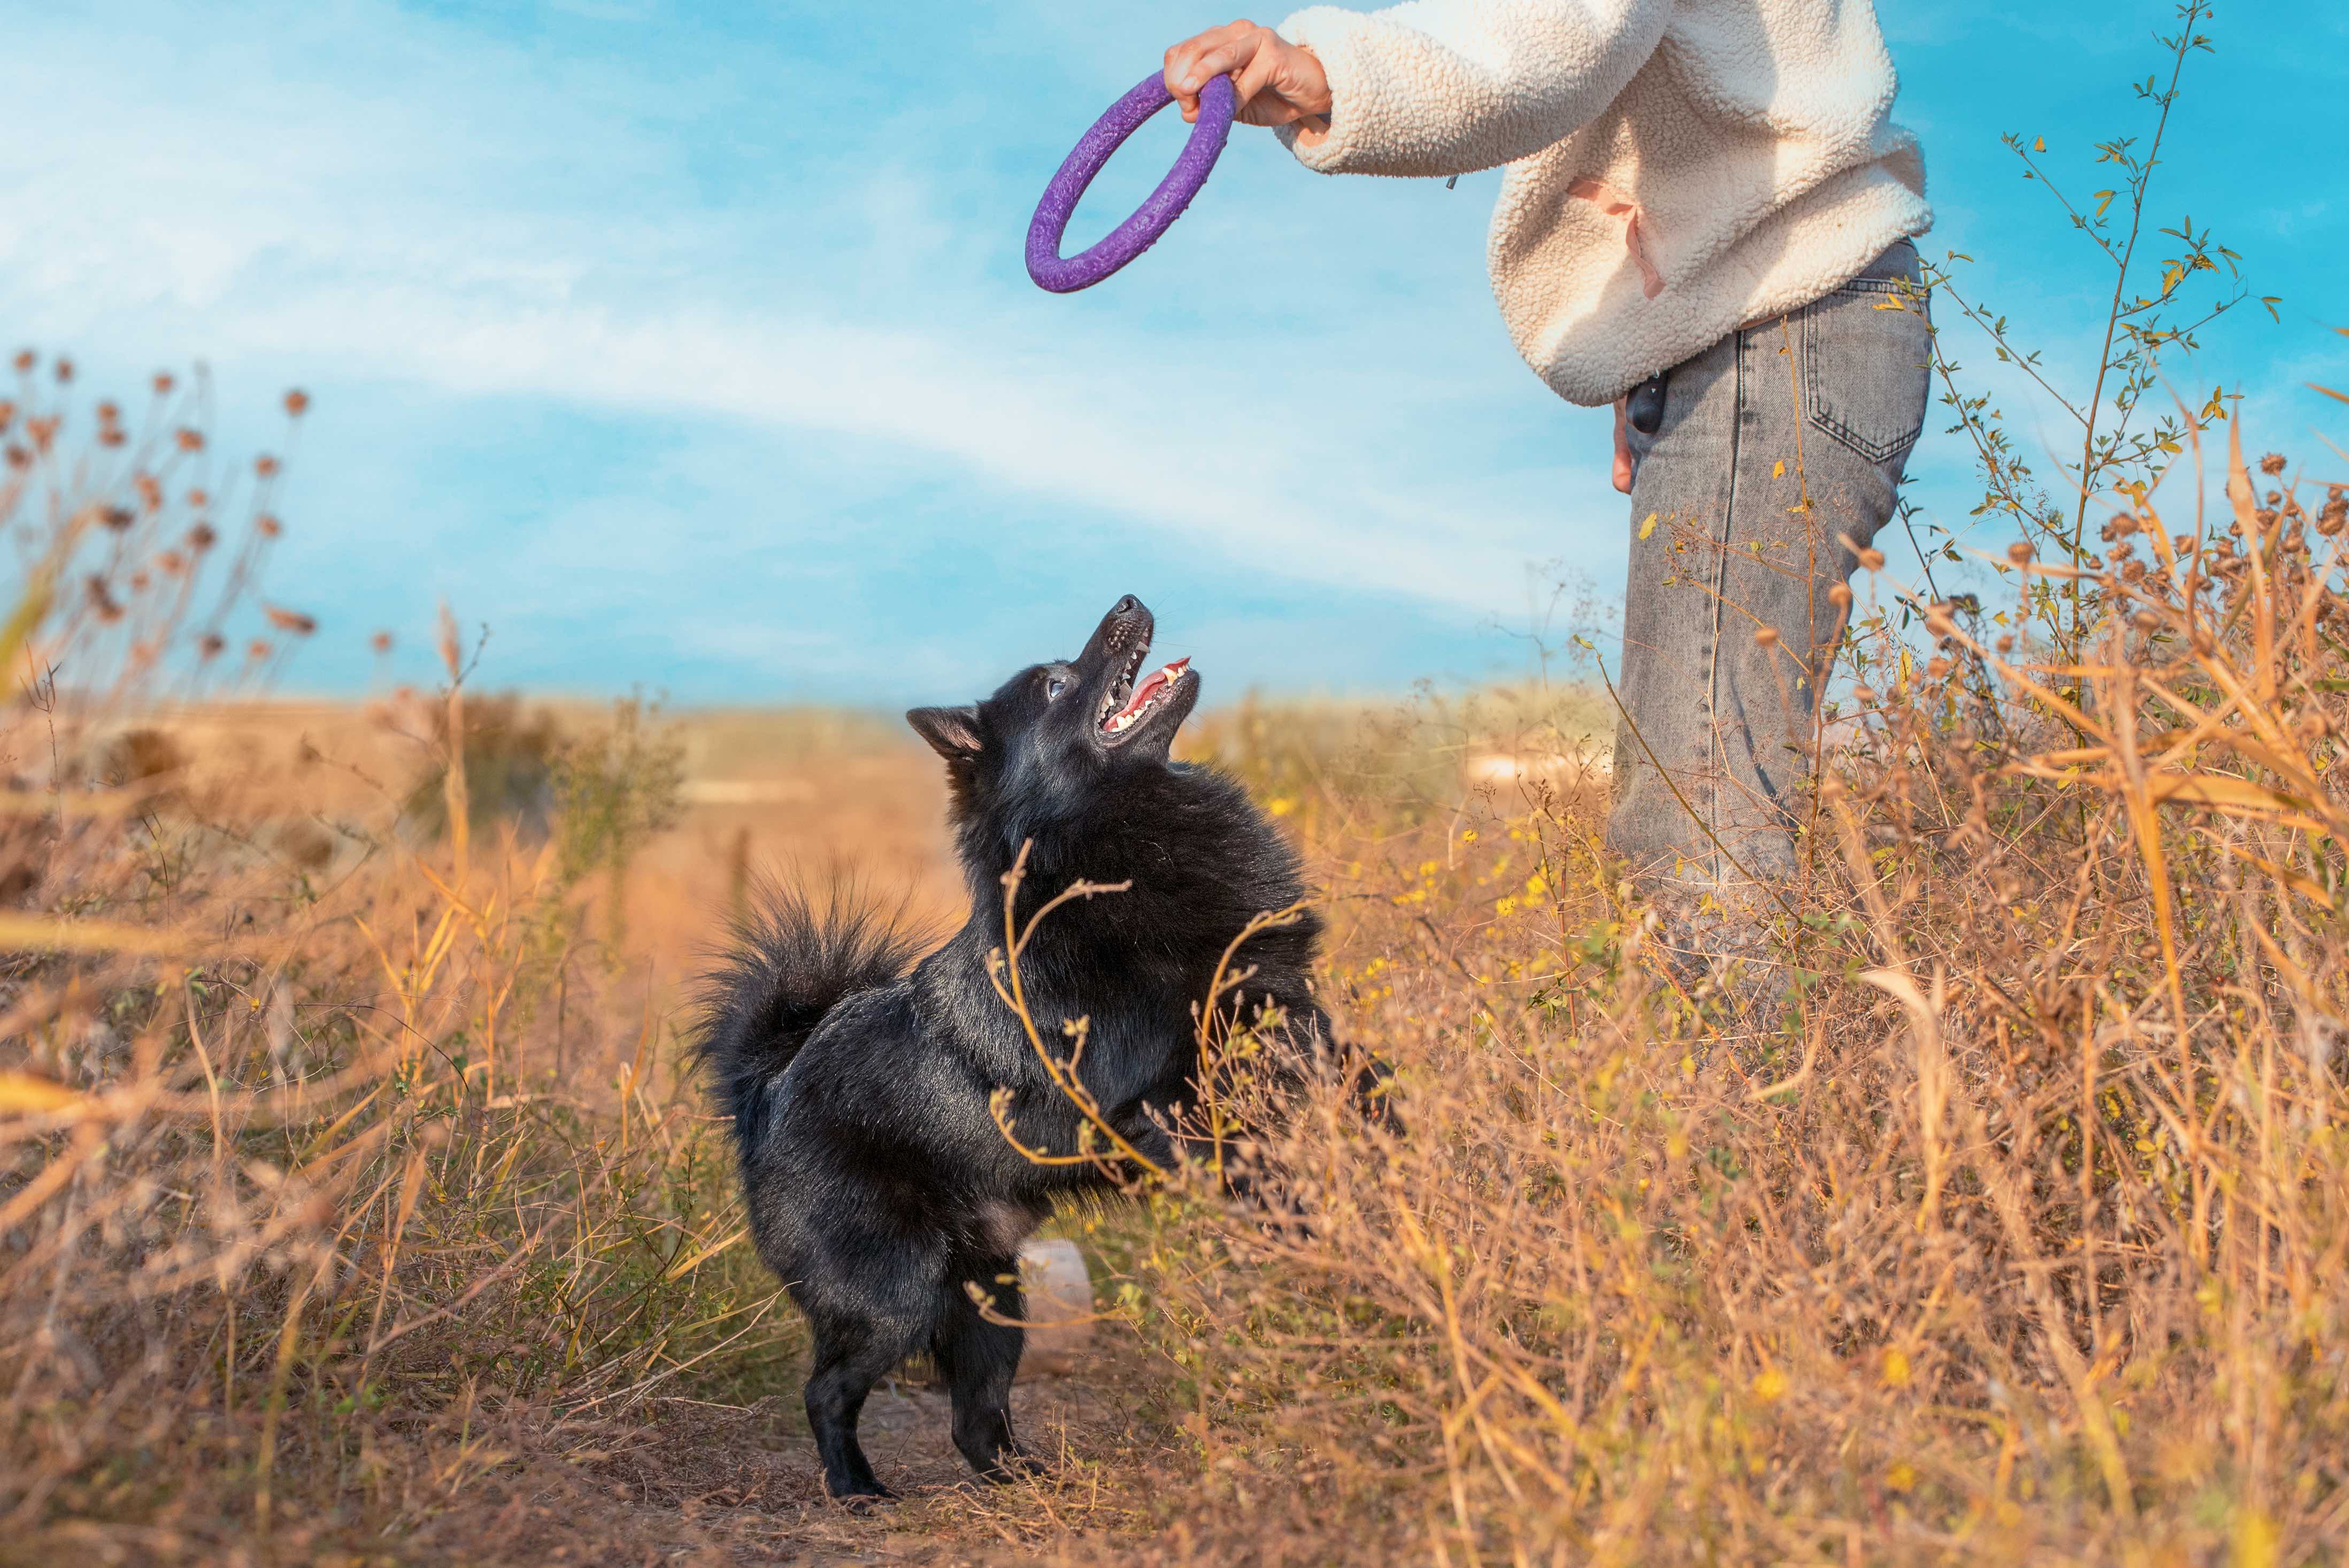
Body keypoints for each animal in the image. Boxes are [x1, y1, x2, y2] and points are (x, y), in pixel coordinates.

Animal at [690, 593, 1324, 1502]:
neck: (1102, 850)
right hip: (895, 1295)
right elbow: (1246, 1149)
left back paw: (1031, 1481)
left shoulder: (1282, 1015)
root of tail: (766, 1088)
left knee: (974, 1417)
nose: (1128, 602)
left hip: (991, 1299)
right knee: (827, 1390)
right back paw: (857, 1489)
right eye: (1058, 683)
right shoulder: (1162, 1094)